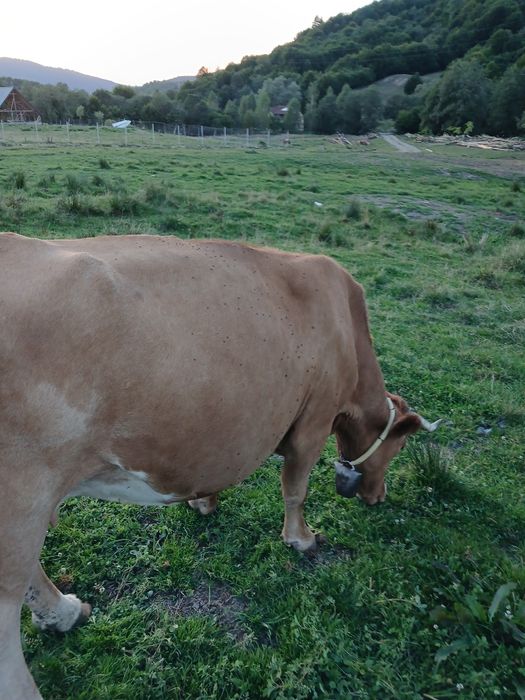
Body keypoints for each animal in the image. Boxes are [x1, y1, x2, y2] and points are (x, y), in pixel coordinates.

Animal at [0, 233, 439, 699]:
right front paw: (301, 539)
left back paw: (64, 612)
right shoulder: (315, 417)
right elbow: (296, 487)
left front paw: (203, 502)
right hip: (21, 498)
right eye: (401, 445)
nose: (379, 496)